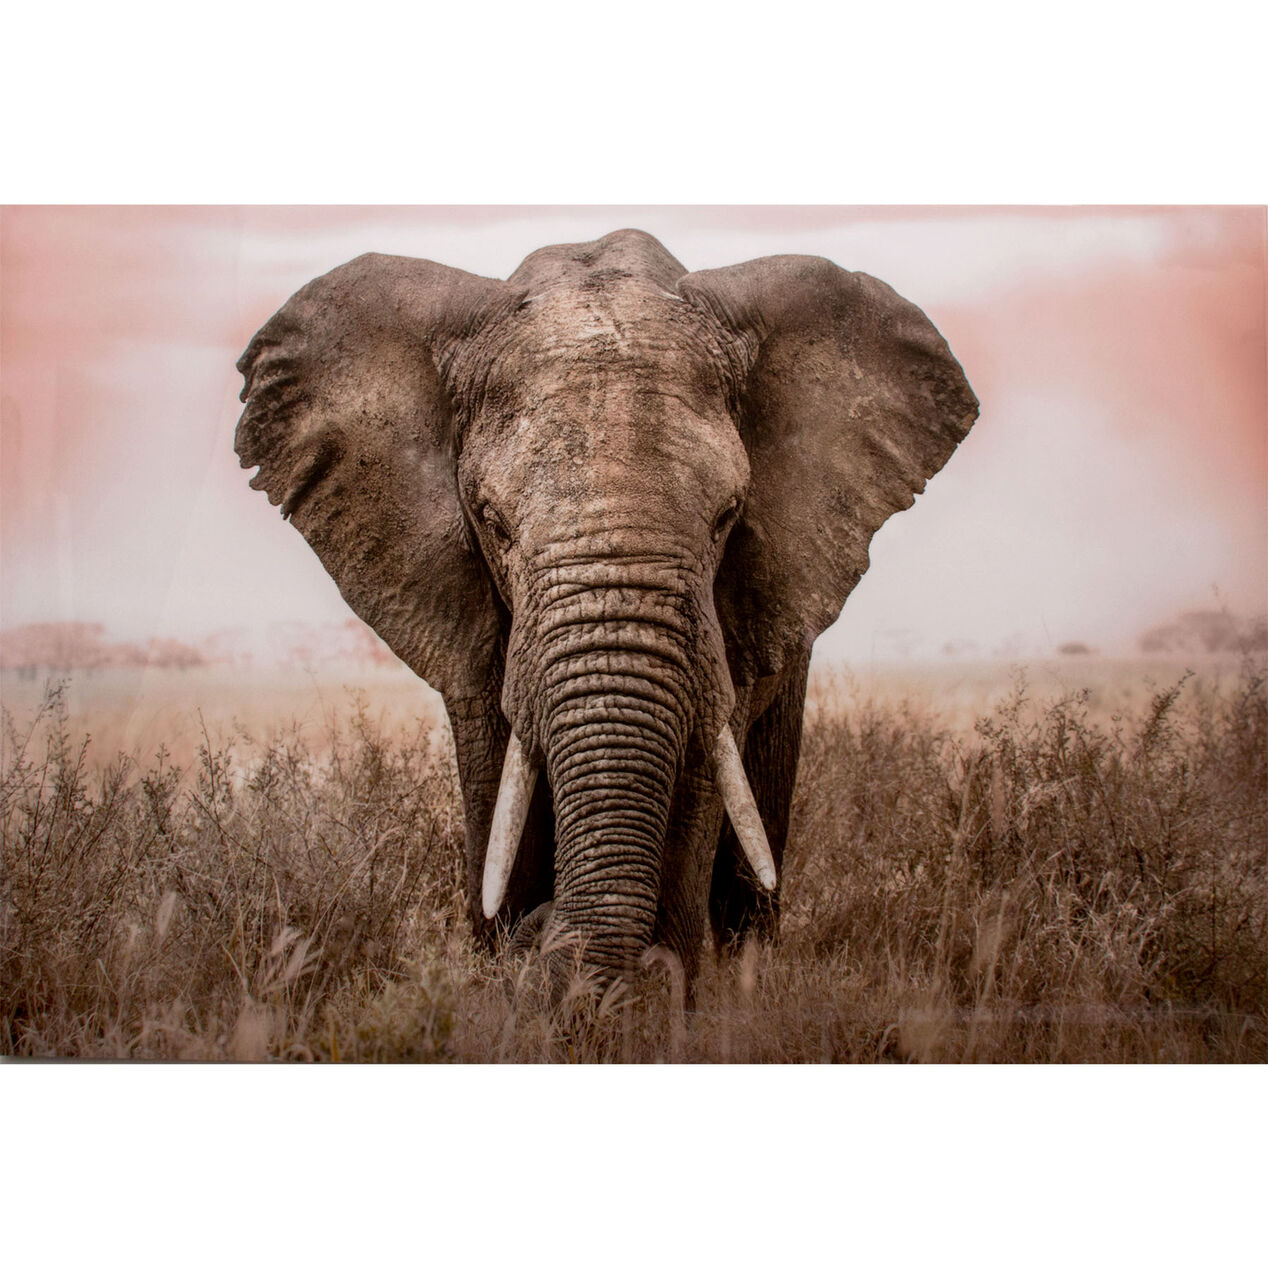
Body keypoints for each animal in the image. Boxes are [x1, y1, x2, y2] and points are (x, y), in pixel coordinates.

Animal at [234, 228, 978, 995]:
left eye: (728, 517)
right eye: (492, 522)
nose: (542, 933)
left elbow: (700, 777)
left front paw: (656, 992)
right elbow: (497, 780)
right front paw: (512, 960)